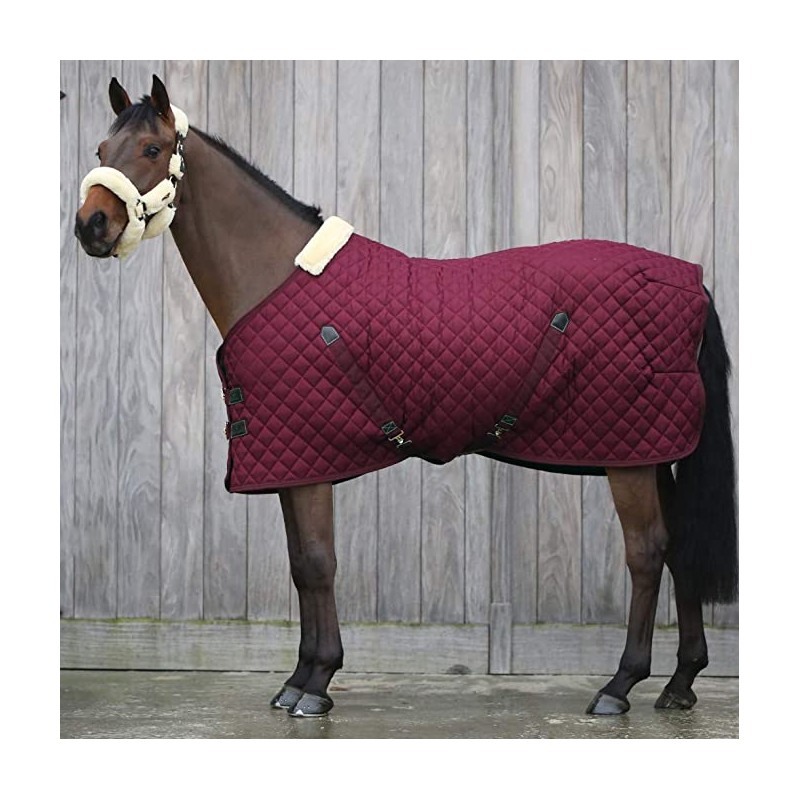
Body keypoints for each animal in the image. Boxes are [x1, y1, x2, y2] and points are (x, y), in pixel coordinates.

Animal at [74, 75, 738, 719]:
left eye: (152, 150)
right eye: (102, 150)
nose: (91, 226)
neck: (276, 276)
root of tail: (688, 279)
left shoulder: (310, 461)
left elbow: (318, 562)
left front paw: (317, 684)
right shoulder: (290, 461)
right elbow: (300, 566)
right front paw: (298, 679)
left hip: (630, 457)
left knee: (647, 553)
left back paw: (619, 686)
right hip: (652, 451)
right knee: (680, 548)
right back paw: (680, 684)